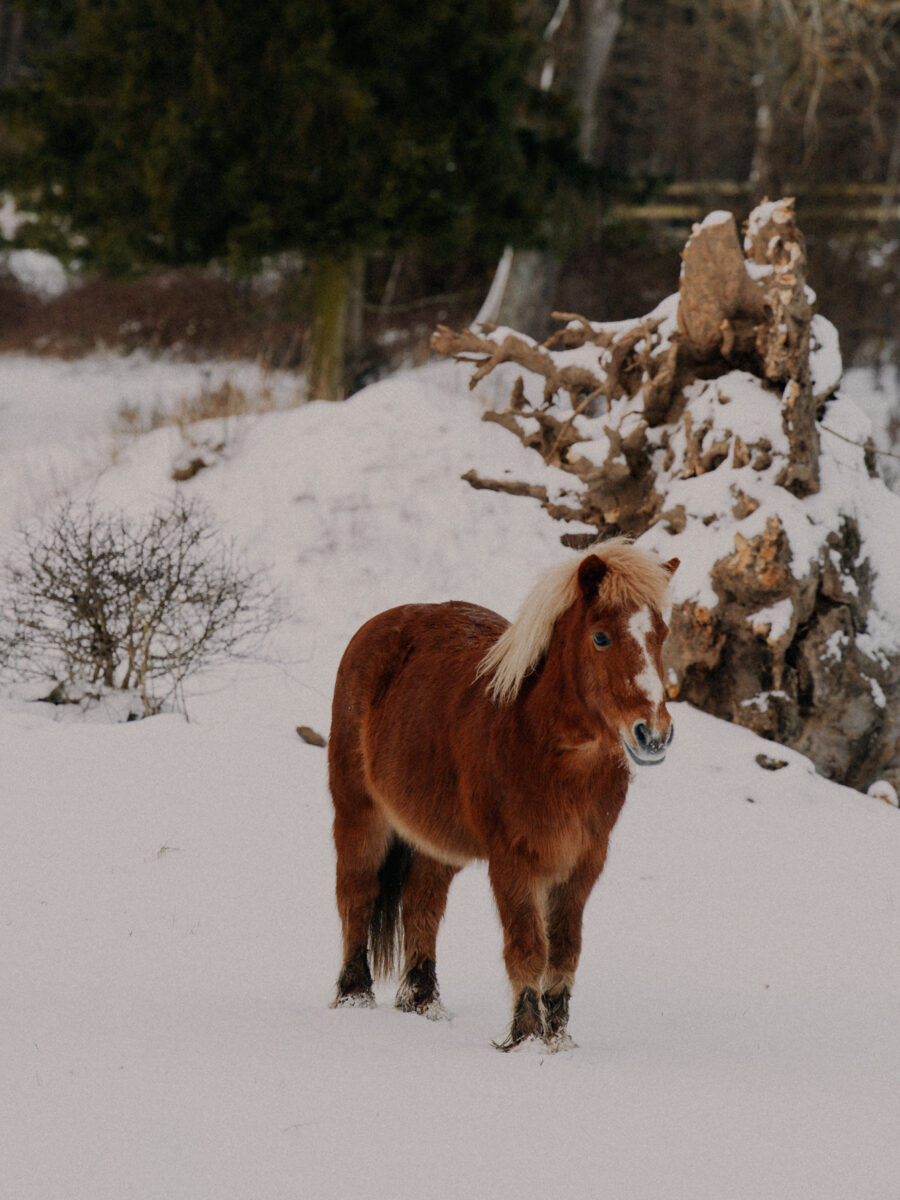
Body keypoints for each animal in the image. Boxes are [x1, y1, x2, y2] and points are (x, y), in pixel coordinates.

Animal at [328, 540, 676, 1046]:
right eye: (601, 638)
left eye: (661, 635)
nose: (654, 735)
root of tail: (376, 629)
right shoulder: (513, 859)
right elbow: (528, 946)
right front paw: (525, 1036)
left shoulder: (584, 862)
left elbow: (565, 951)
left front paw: (558, 1039)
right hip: (359, 813)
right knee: (356, 893)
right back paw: (353, 995)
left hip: (437, 841)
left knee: (422, 902)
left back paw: (424, 1002)